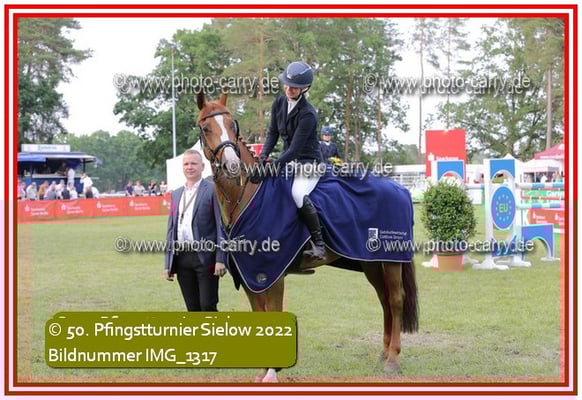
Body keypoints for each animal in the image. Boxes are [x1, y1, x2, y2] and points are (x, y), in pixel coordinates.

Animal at [196, 90, 418, 382]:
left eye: (233, 126)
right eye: (205, 128)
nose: (232, 166)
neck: (248, 197)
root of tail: (401, 189)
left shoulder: (271, 275)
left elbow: (272, 314)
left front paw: (272, 373)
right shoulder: (249, 276)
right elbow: (259, 315)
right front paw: (261, 372)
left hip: (392, 260)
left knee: (395, 300)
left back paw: (393, 360)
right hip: (370, 261)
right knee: (383, 300)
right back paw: (383, 353)